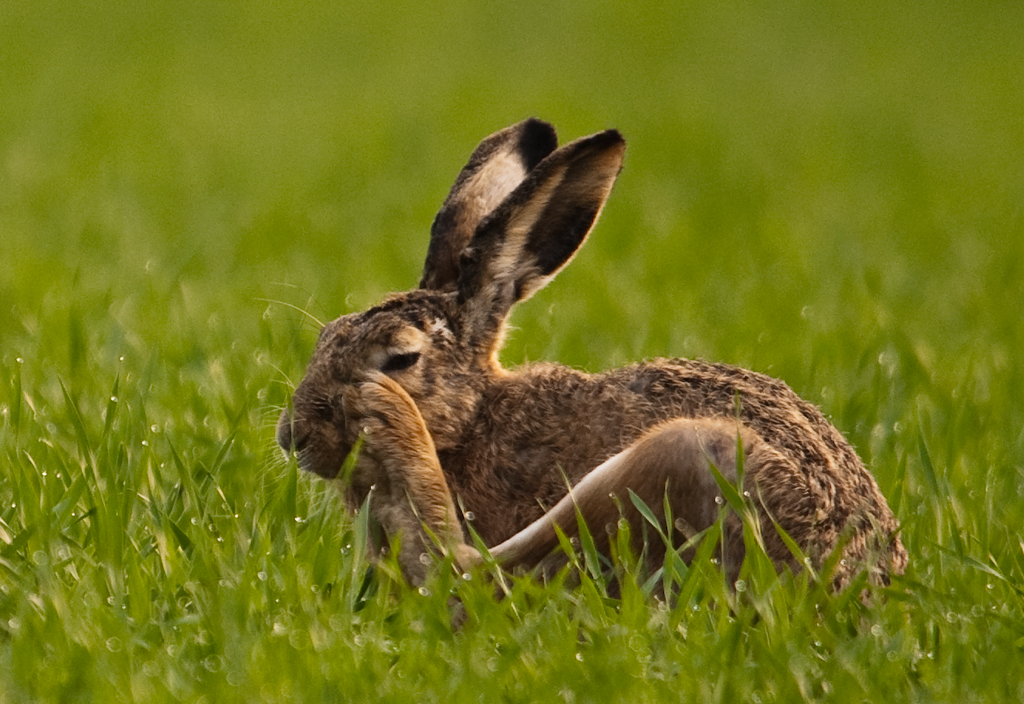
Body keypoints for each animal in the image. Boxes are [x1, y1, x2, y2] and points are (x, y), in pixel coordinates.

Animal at [277, 118, 908, 590]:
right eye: (326, 335)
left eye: (401, 357)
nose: (294, 437)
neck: (474, 421)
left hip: (680, 459)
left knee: (466, 568)